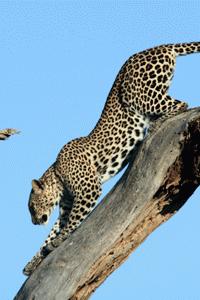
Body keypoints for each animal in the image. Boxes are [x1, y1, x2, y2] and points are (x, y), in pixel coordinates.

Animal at [23, 41, 200, 276]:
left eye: (32, 207)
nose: (34, 222)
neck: (57, 175)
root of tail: (158, 47)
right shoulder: (67, 204)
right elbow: (52, 231)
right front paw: (33, 262)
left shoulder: (88, 190)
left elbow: (69, 224)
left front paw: (58, 241)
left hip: (140, 95)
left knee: (182, 103)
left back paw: (156, 124)